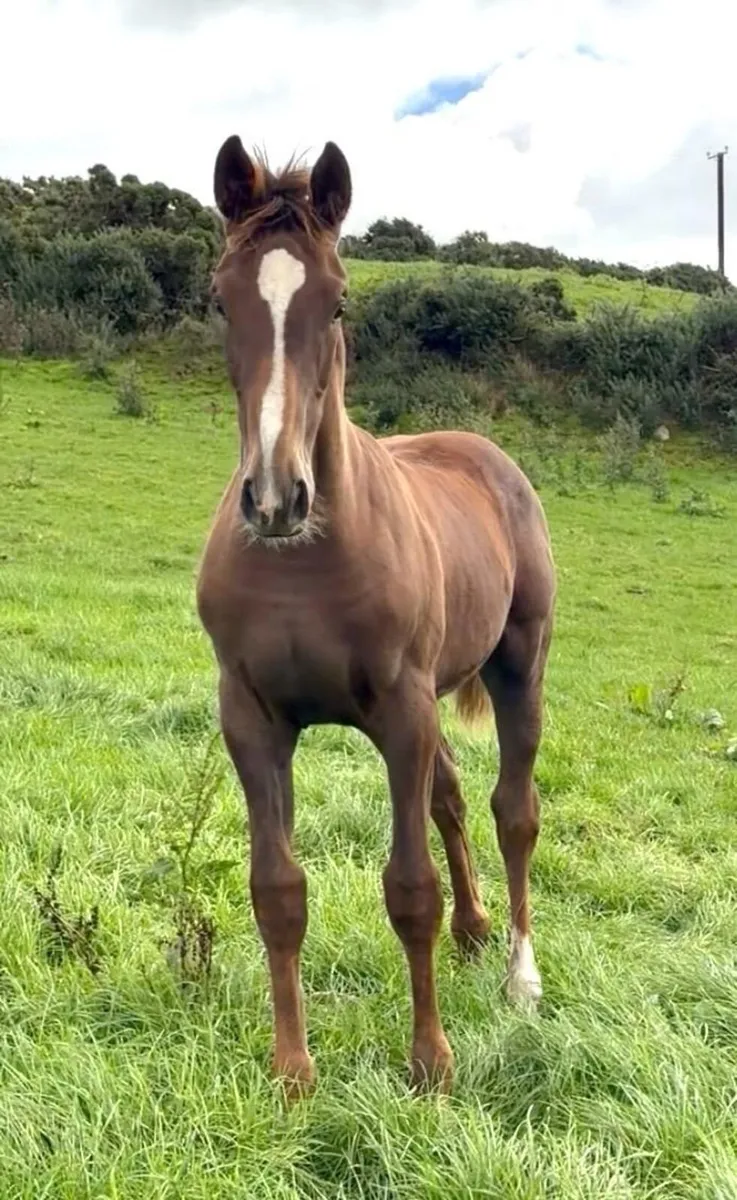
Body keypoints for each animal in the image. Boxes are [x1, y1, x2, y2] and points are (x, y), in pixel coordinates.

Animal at [196, 134, 556, 1097]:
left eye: (338, 299)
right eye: (220, 297)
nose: (274, 498)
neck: (305, 562)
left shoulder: (400, 711)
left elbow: (408, 889)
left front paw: (430, 1063)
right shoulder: (252, 718)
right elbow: (277, 890)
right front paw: (291, 1072)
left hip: (517, 666)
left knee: (513, 809)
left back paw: (519, 975)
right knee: (454, 798)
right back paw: (475, 933)